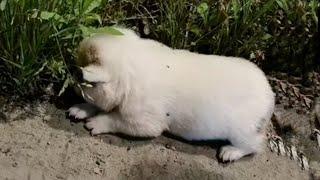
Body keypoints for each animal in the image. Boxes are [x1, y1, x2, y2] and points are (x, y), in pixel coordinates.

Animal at [69, 27, 274, 162]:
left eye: (82, 78)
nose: (73, 87)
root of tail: (270, 95)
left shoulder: (144, 120)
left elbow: (115, 119)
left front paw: (92, 125)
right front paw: (75, 111)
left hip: (243, 131)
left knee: (255, 145)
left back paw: (227, 154)